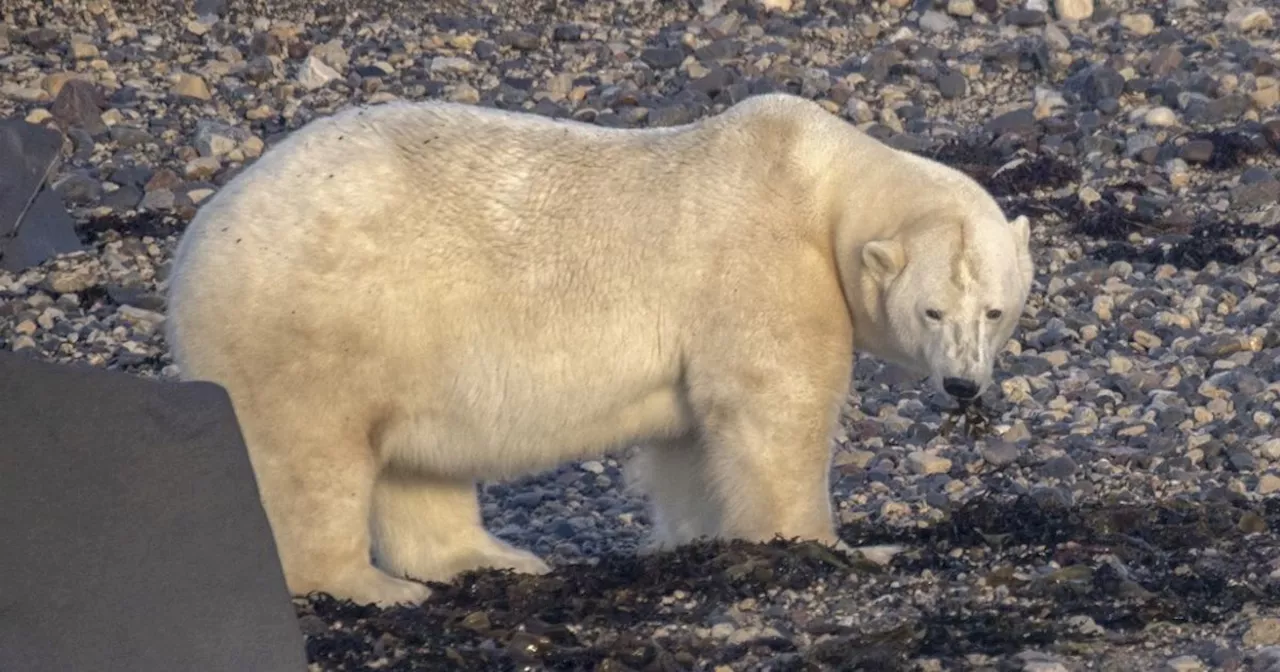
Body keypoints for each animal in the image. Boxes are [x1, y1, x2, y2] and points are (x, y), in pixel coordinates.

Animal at [162, 92, 1039, 606]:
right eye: (932, 309)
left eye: (995, 309)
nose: (964, 387)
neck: (818, 182)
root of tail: (195, 252)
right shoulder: (765, 263)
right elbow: (774, 409)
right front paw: (839, 546)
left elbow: (693, 443)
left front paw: (695, 537)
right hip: (314, 326)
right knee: (311, 462)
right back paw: (368, 586)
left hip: (405, 342)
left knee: (418, 464)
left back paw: (495, 559)